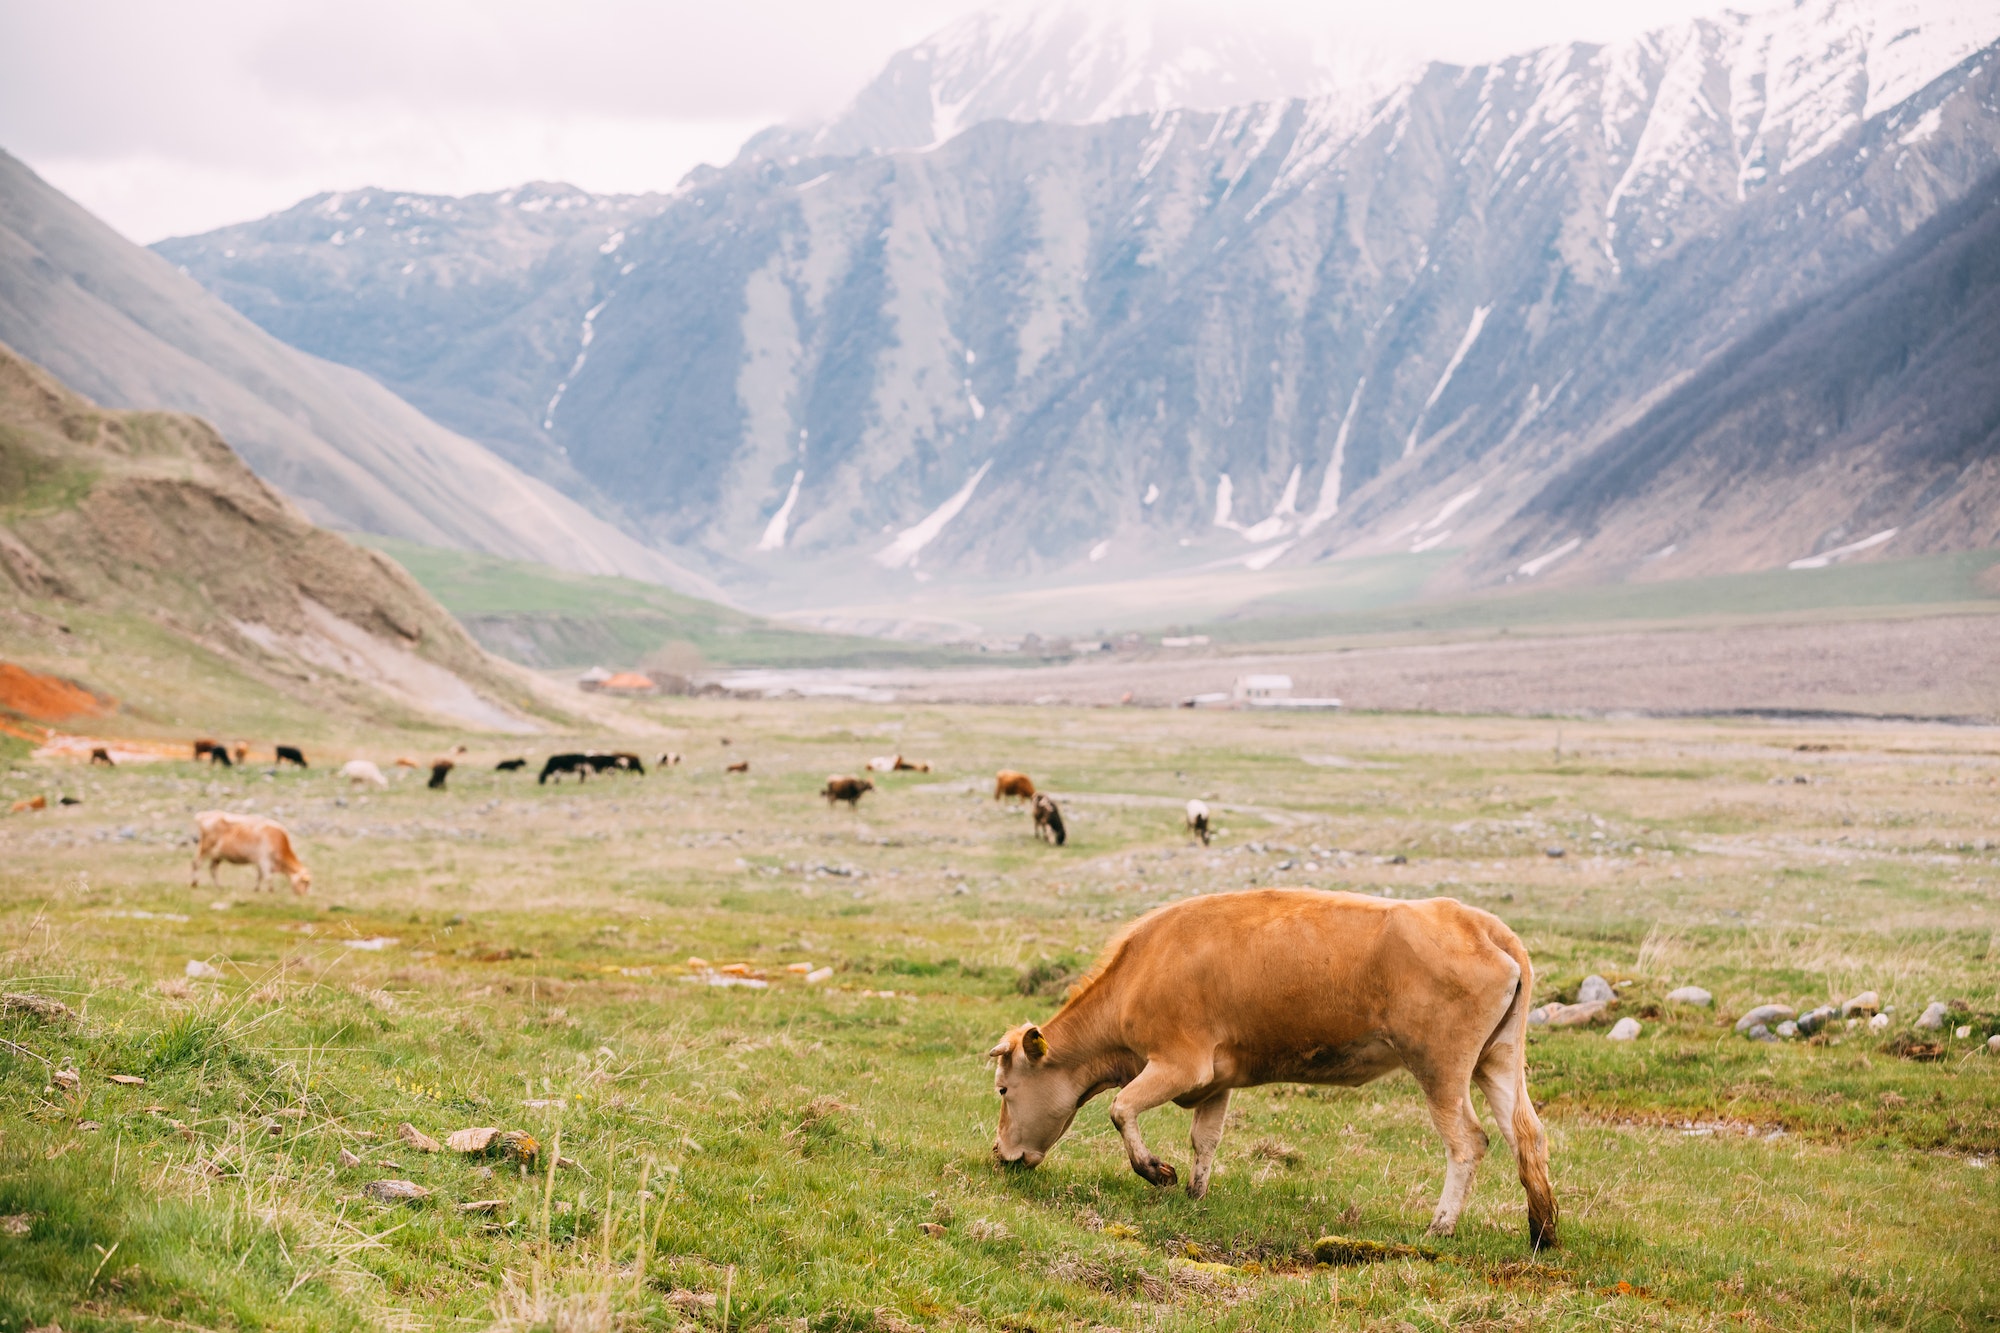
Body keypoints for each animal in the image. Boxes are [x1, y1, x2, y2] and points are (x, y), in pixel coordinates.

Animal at [992, 880, 1552, 1248]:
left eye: (1002, 1089)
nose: (999, 1154)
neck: (1143, 968)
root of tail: (1479, 923)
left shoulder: (1180, 1065)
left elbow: (1121, 1109)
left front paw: (1157, 1173)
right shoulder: (1216, 1080)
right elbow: (1205, 1140)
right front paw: (1194, 1195)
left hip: (1440, 1068)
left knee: (1468, 1142)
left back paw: (1440, 1227)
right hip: (1497, 1060)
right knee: (1526, 1134)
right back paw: (1543, 1229)